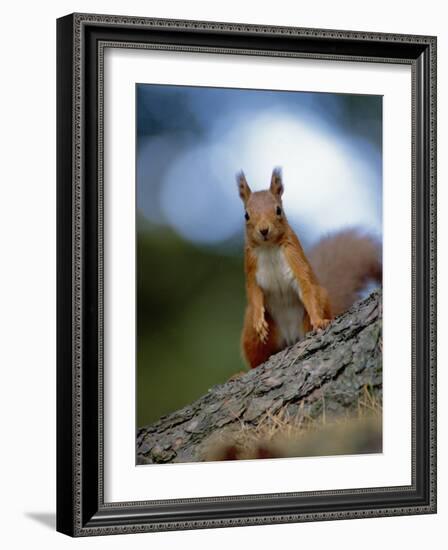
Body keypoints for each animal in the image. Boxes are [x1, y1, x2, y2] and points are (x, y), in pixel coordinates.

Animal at [238, 166, 382, 368]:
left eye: (278, 210)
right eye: (246, 215)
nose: (264, 230)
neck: (269, 247)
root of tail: (290, 338)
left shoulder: (294, 257)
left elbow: (306, 286)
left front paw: (319, 321)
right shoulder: (250, 266)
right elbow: (254, 293)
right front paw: (259, 320)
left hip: (314, 308)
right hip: (252, 334)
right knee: (258, 358)